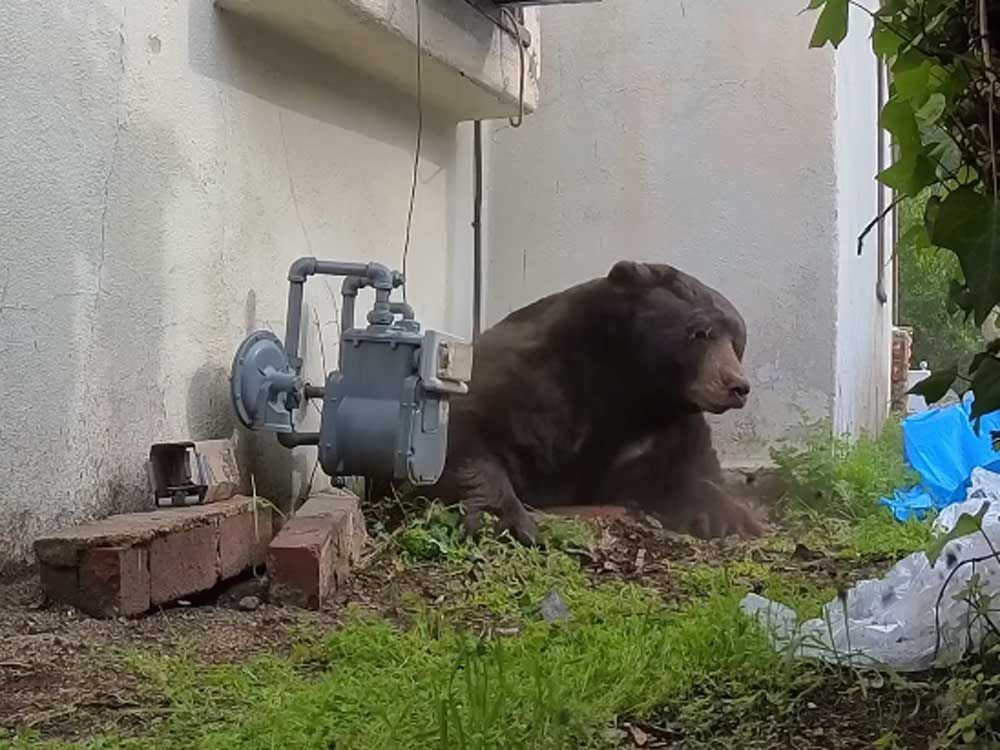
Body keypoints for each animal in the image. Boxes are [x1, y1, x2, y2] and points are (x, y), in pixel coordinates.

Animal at [427, 259, 764, 545]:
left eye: (737, 341)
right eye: (701, 333)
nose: (737, 386)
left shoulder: (660, 424)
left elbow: (687, 469)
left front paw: (732, 517)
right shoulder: (530, 383)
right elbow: (467, 432)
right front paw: (505, 520)